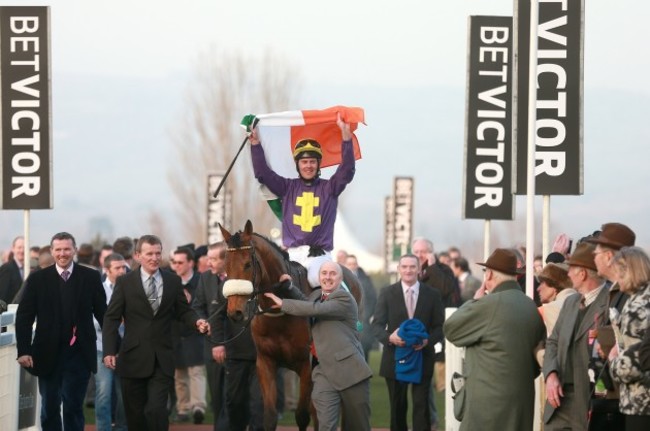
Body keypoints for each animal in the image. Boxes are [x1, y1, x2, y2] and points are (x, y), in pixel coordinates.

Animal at [219, 221, 362, 430]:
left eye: (247, 264)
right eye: (226, 266)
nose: (234, 312)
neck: (279, 316)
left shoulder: (305, 366)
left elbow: (302, 415)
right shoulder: (265, 362)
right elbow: (270, 415)